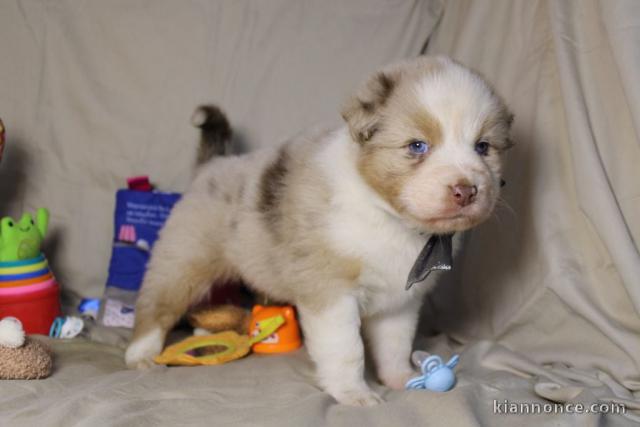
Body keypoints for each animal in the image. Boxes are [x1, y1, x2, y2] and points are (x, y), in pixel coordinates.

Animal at [125, 55, 516, 406]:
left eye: (483, 147)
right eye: (417, 146)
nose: (466, 190)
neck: (387, 215)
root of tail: (212, 166)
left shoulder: (399, 301)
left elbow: (395, 345)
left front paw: (402, 379)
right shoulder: (331, 294)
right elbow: (347, 349)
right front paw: (354, 394)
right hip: (183, 260)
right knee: (157, 305)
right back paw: (140, 354)